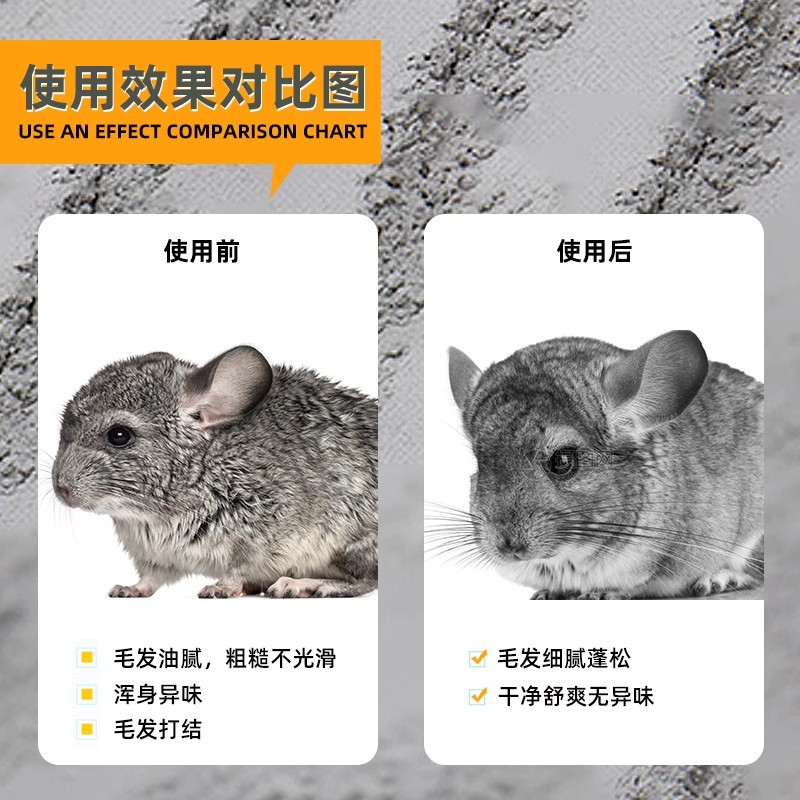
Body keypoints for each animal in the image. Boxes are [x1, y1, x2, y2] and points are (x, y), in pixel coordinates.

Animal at [52, 346, 377, 599]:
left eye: (119, 435)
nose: (61, 489)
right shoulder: (153, 557)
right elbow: (149, 580)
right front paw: (129, 590)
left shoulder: (261, 534)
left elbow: (237, 570)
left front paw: (221, 588)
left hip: (350, 541)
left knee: (365, 580)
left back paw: (301, 585)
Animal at [445, 330, 763, 599]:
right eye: (479, 460)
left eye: (562, 460)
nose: (506, 546)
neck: (568, 559)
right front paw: (547, 594)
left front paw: (600, 594)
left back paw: (719, 579)